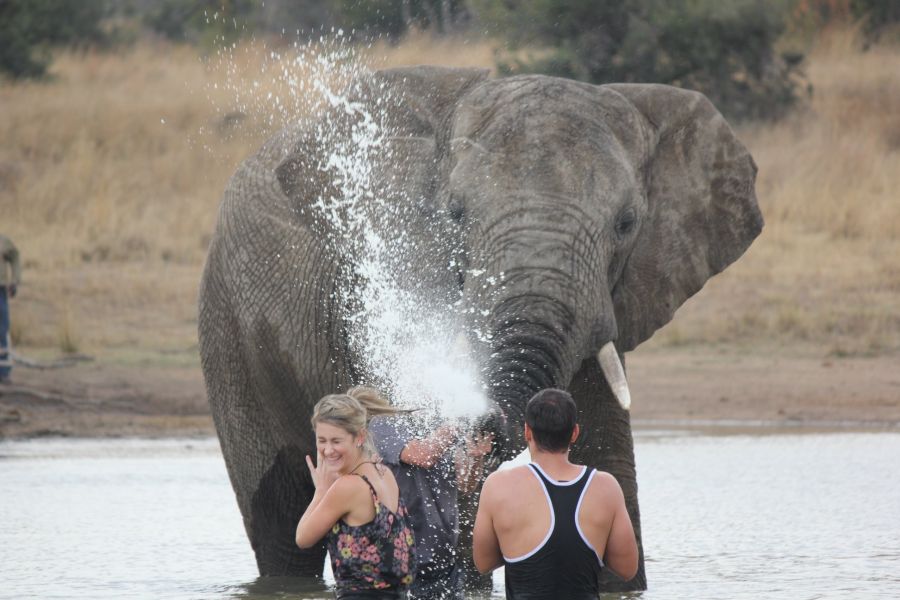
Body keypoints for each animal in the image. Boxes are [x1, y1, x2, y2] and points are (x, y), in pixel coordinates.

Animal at [198, 65, 763, 591]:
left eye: (626, 223)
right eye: (454, 214)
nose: (487, 423)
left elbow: (607, 463)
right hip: (228, 319)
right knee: (279, 522)